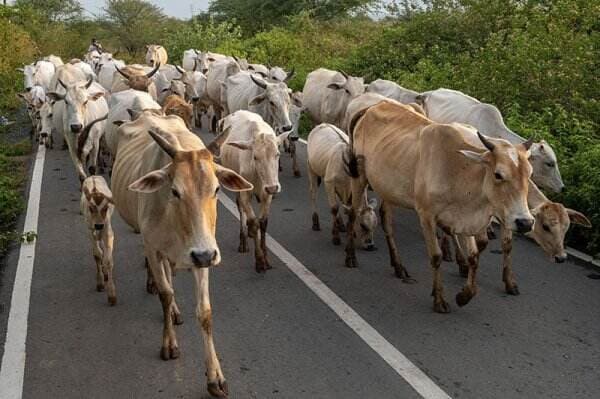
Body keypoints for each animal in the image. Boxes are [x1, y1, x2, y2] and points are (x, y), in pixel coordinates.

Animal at [80, 176, 116, 306]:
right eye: (91, 208)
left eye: (105, 208)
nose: (99, 225)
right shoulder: (90, 230)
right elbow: (97, 254)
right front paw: (100, 283)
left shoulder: (108, 231)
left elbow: (108, 260)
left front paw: (111, 295)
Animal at [110, 111, 251, 398]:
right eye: (175, 191)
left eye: (216, 189)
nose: (204, 255)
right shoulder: (155, 248)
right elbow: (165, 294)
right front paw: (169, 345)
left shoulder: (203, 254)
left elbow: (205, 312)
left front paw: (215, 377)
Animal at [342, 100, 536, 312]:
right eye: (498, 174)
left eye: (529, 173)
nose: (525, 222)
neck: (459, 170)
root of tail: (373, 106)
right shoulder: (426, 215)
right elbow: (436, 256)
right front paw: (439, 299)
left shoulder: (464, 219)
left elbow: (474, 256)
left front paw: (464, 295)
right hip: (359, 177)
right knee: (353, 213)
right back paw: (350, 257)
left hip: (387, 187)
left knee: (386, 219)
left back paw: (398, 266)